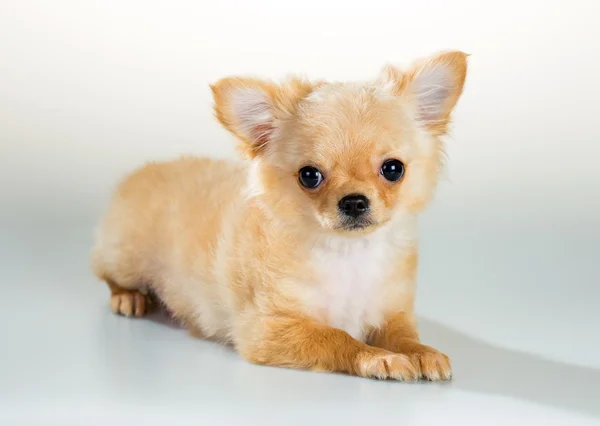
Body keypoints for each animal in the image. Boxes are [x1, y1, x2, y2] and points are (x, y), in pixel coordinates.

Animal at [92, 51, 468, 382]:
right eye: (310, 176)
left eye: (393, 169)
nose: (354, 202)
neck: (348, 253)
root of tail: (146, 169)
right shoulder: (269, 329)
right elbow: (338, 338)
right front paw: (379, 357)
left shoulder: (391, 310)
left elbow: (403, 335)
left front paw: (420, 352)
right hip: (125, 256)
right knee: (106, 272)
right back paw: (129, 297)